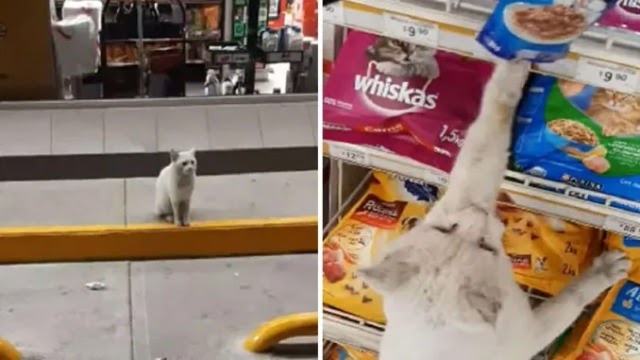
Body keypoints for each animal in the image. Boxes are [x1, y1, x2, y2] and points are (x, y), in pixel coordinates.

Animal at [358, 59, 632, 360]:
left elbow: (488, 129)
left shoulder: (461, 194)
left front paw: (512, 64)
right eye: (487, 247)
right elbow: (570, 299)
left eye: (444, 229)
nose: (478, 214)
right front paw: (606, 270)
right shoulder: (525, 334)